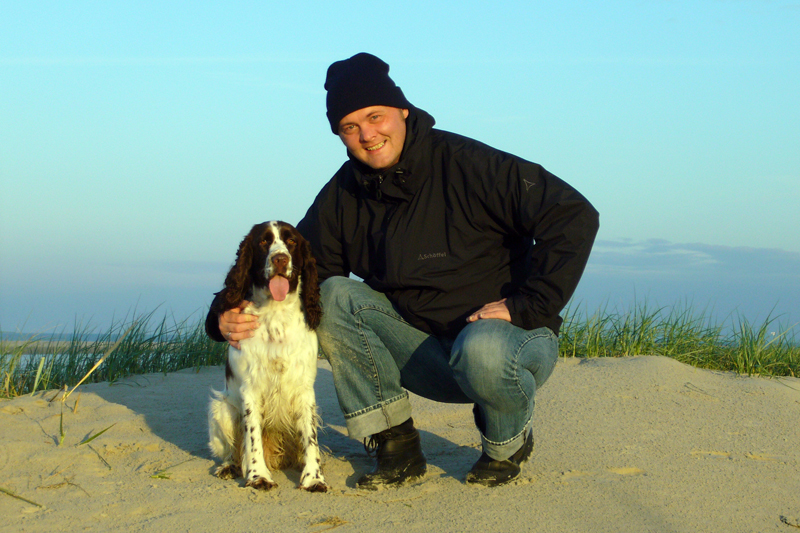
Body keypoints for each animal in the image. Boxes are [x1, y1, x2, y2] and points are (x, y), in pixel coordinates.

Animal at [211, 219, 330, 490]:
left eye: (292, 241)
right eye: (264, 241)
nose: (280, 259)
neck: (276, 314)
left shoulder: (305, 389)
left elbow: (310, 438)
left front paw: (313, 477)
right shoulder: (250, 390)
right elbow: (252, 437)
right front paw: (258, 476)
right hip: (222, 409)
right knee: (231, 449)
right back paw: (229, 466)